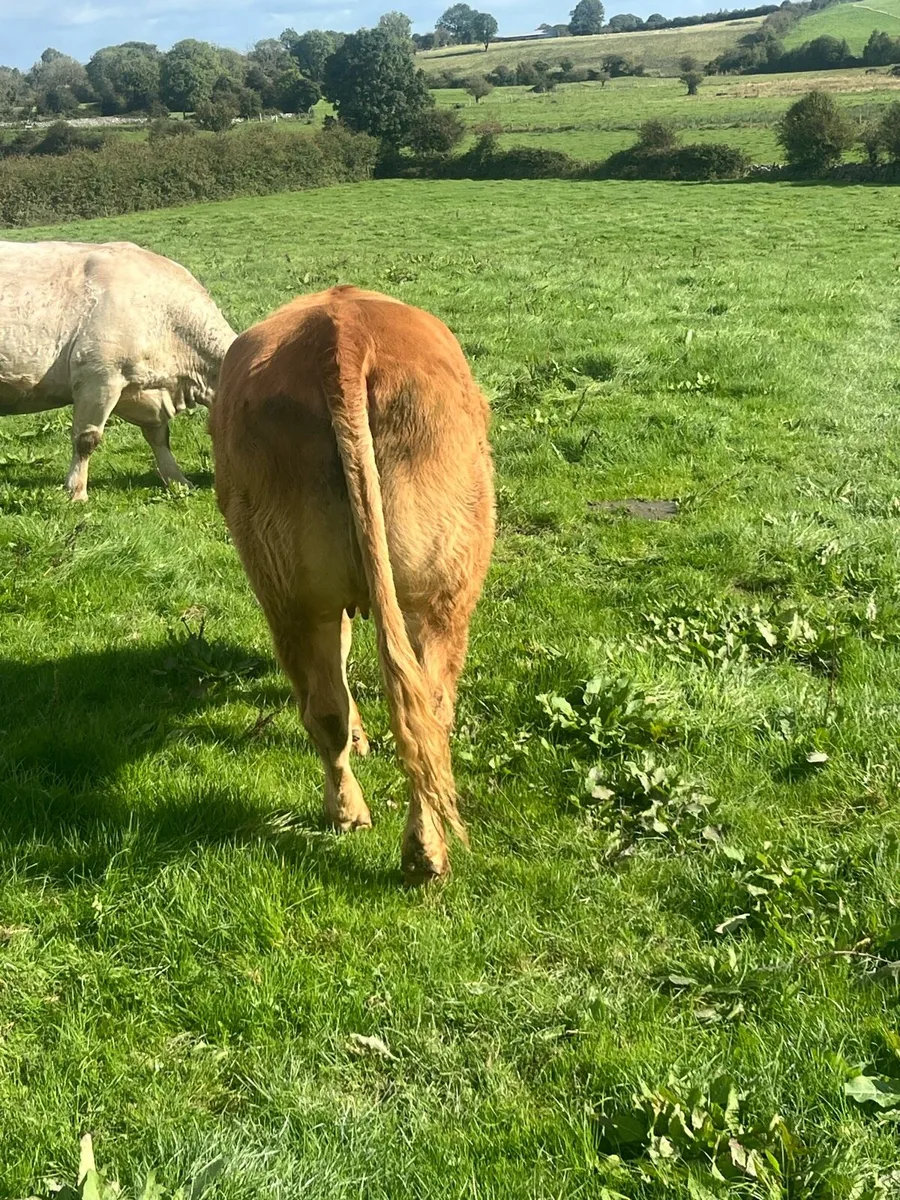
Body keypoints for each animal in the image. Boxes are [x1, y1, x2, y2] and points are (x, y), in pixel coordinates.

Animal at [0, 240, 236, 500]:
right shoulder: (99, 378)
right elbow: (86, 439)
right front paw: (76, 492)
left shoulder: (144, 390)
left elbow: (159, 436)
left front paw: (179, 481)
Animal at [210, 286, 495, 884]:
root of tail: (341, 332)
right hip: (440, 593)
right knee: (425, 710)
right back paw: (413, 846)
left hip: (296, 594)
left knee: (342, 709)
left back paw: (371, 824)